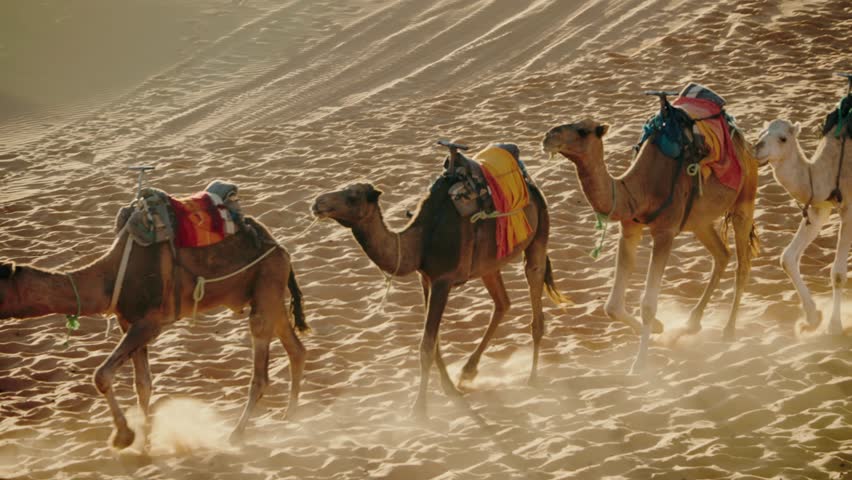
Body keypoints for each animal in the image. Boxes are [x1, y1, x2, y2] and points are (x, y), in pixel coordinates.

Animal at [0, 215, 308, 449]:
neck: (107, 280)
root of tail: (281, 249)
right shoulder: (129, 322)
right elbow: (143, 384)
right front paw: (144, 442)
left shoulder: (150, 322)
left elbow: (102, 375)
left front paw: (124, 436)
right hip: (267, 291)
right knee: (296, 348)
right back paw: (290, 416)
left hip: (267, 282)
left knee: (261, 370)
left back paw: (237, 434)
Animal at [311, 165, 569, 418]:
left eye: (353, 196)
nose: (317, 203)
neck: (420, 241)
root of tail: (533, 188)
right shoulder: (426, 279)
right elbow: (434, 343)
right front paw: (449, 389)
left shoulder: (442, 282)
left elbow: (427, 344)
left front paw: (419, 410)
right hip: (489, 264)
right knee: (503, 303)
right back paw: (467, 371)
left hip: (538, 237)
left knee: (535, 303)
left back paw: (532, 377)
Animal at [541, 117, 759, 373]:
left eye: (583, 131)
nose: (548, 136)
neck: (638, 189)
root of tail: (745, 144)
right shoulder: (629, 229)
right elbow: (612, 306)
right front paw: (658, 327)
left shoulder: (665, 233)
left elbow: (647, 304)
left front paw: (640, 364)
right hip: (699, 221)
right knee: (722, 255)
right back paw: (691, 323)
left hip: (744, 200)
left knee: (742, 264)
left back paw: (729, 329)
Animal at [755, 117, 852, 335]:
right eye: (761, 133)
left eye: (783, 138)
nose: (756, 148)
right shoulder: (819, 208)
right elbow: (787, 258)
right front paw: (812, 317)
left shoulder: (850, 208)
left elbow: (838, 273)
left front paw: (834, 325)